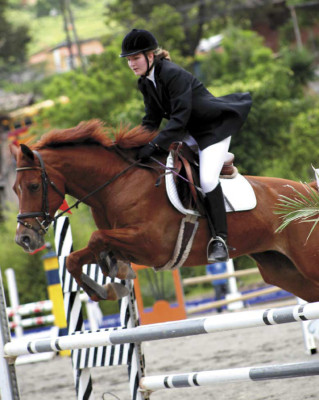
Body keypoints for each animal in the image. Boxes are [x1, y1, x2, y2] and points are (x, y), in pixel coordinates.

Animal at [10, 120, 319, 302]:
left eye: (34, 186)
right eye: (14, 189)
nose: (24, 239)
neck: (117, 184)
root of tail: (310, 194)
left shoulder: (151, 245)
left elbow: (98, 238)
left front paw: (111, 278)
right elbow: (76, 258)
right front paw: (108, 283)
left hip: (307, 263)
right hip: (284, 271)